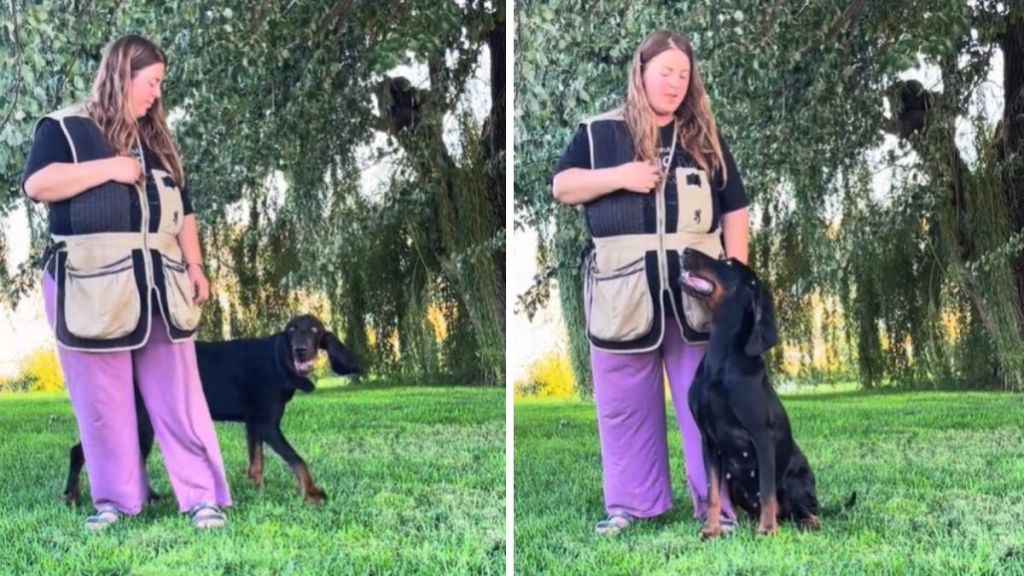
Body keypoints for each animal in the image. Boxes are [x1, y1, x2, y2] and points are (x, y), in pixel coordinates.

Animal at [64, 311, 360, 504]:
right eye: (291, 330)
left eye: (314, 330)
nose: (300, 350)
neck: (279, 362)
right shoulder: (268, 425)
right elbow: (298, 460)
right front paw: (312, 493)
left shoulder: (254, 424)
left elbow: (256, 462)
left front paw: (258, 490)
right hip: (140, 422)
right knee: (81, 452)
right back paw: (72, 497)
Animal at [684, 248, 819, 537]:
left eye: (727, 263)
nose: (685, 250)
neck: (722, 358)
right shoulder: (708, 439)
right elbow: (713, 493)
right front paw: (712, 529)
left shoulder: (761, 434)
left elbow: (766, 489)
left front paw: (767, 530)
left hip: (797, 479)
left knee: (805, 509)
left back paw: (806, 521)